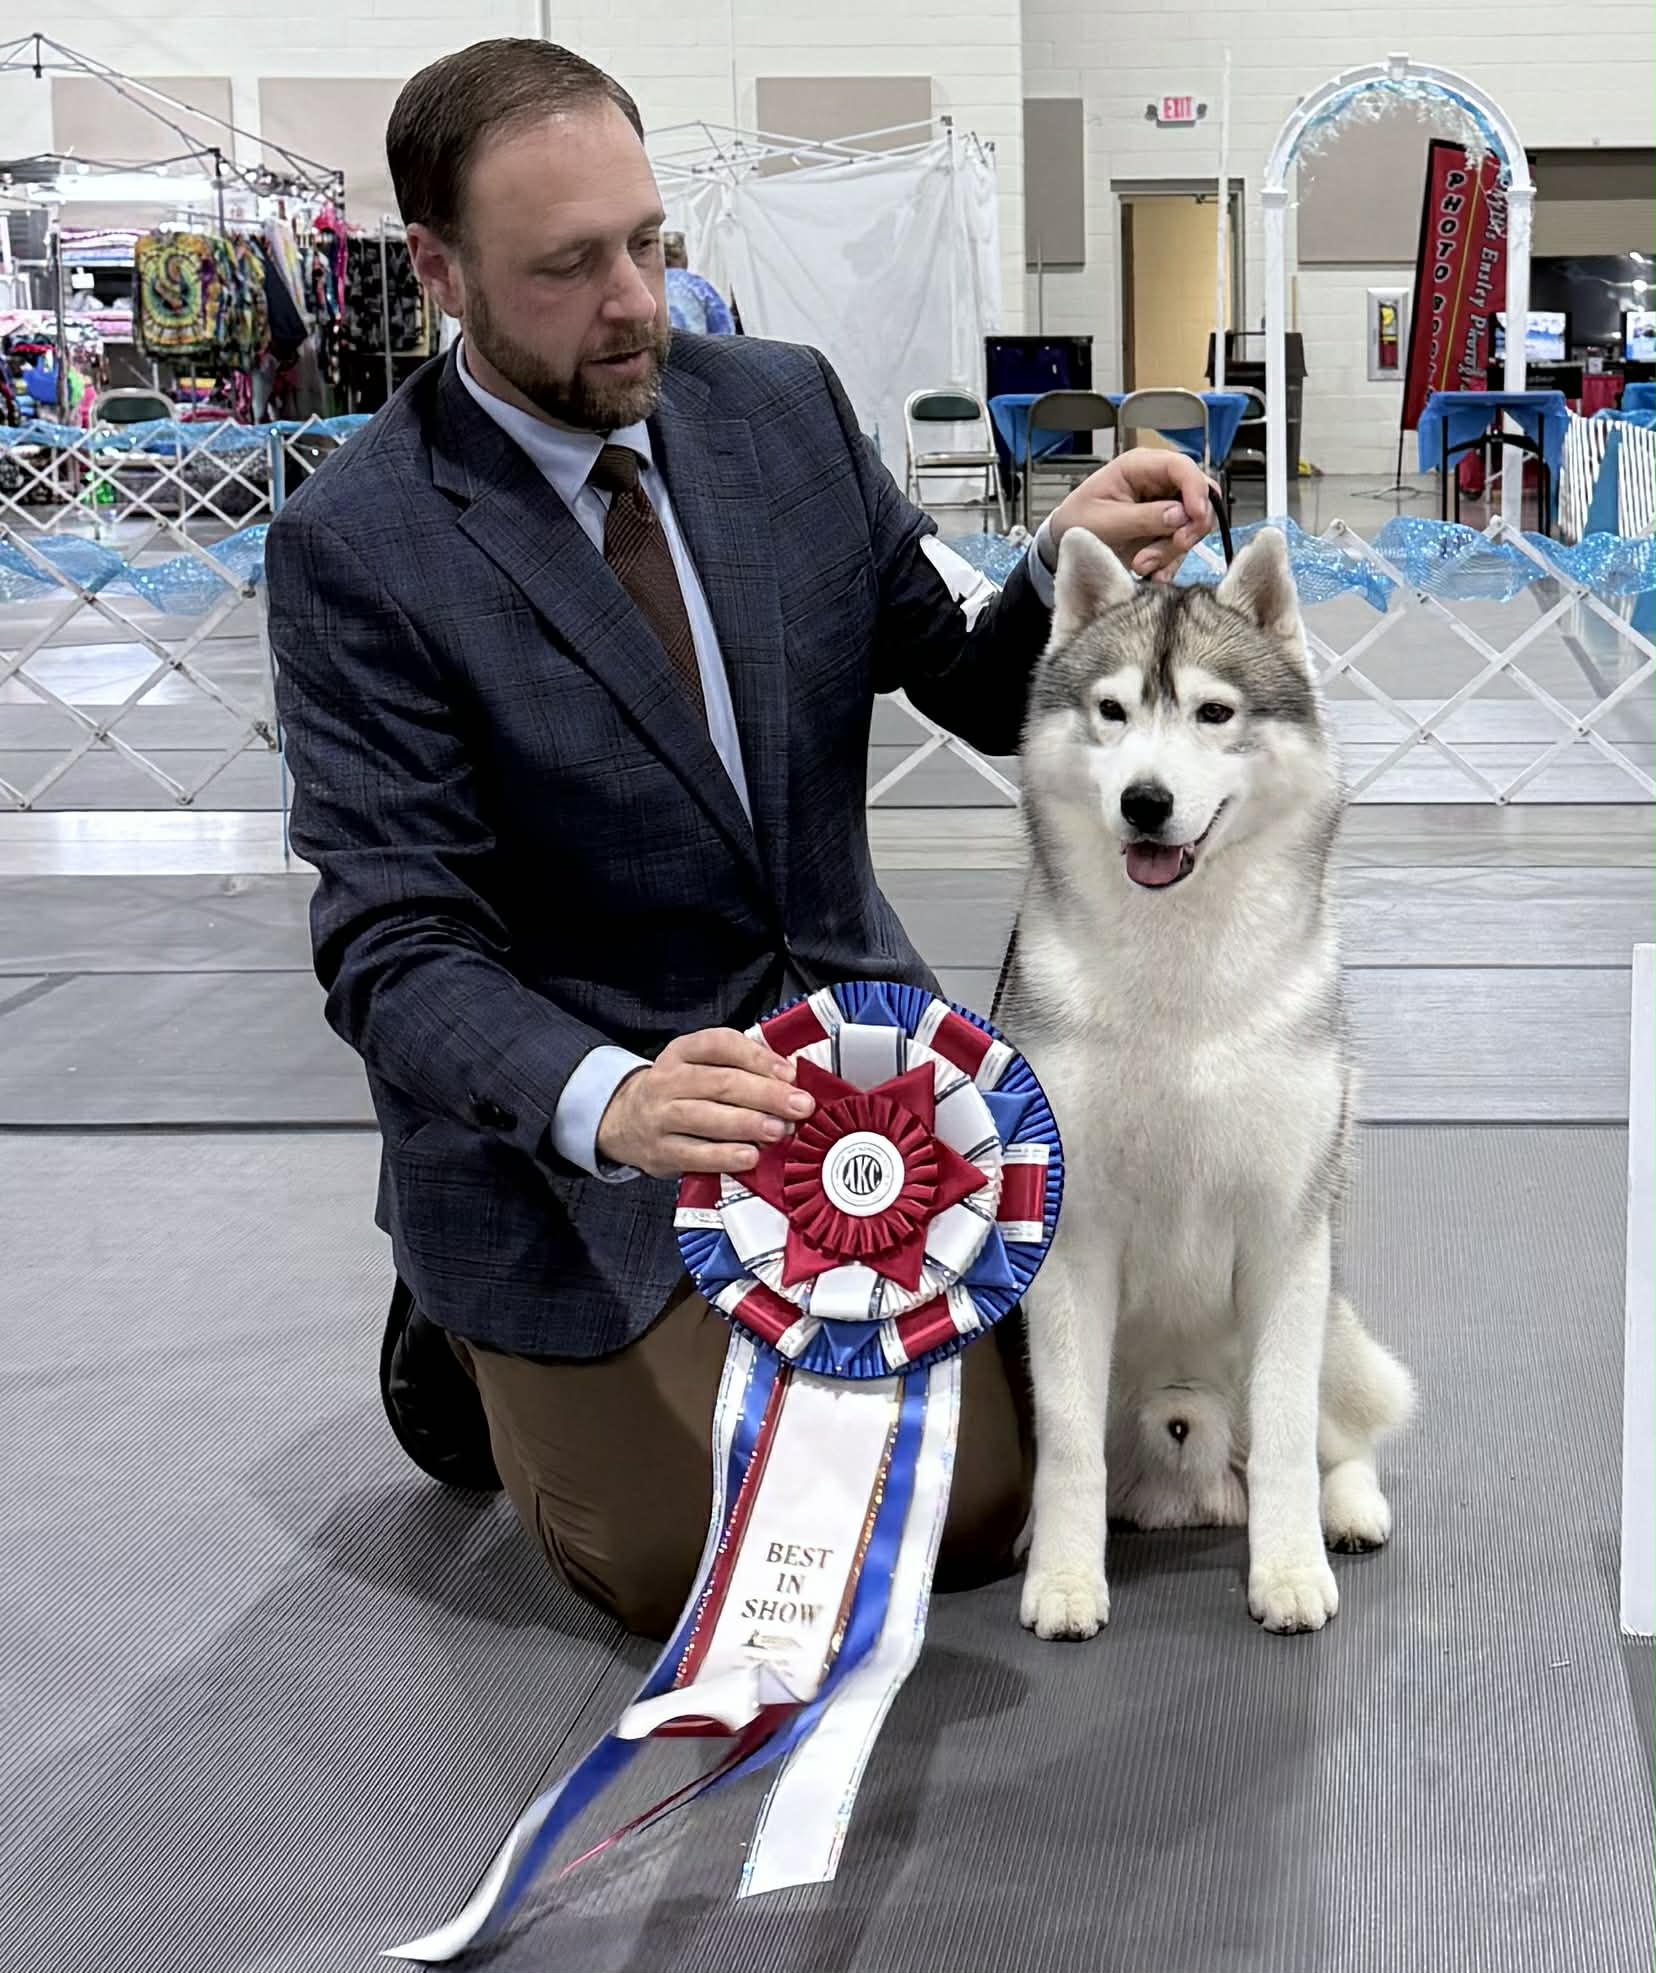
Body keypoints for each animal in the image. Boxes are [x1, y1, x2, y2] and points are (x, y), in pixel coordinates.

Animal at [999, 525, 1414, 1639]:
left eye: (1214, 712)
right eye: (1112, 711)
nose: (1146, 801)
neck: (1180, 975)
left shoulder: (1285, 1234)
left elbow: (1285, 1435)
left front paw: (1289, 1567)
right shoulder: (1068, 1240)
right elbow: (1064, 1445)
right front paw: (1064, 1573)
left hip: (1338, 1319)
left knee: (1336, 1437)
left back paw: (1348, 1510)